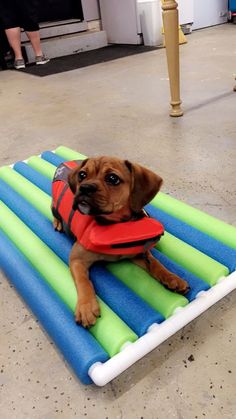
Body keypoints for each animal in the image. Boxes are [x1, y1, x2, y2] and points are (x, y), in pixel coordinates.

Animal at [52, 158, 189, 328]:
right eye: (82, 175)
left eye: (112, 178)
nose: (84, 187)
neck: (115, 225)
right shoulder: (77, 259)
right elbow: (84, 281)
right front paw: (86, 306)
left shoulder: (139, 254)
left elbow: (156, 264)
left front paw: (172, 277)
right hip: (55, 207)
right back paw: (57, 222)